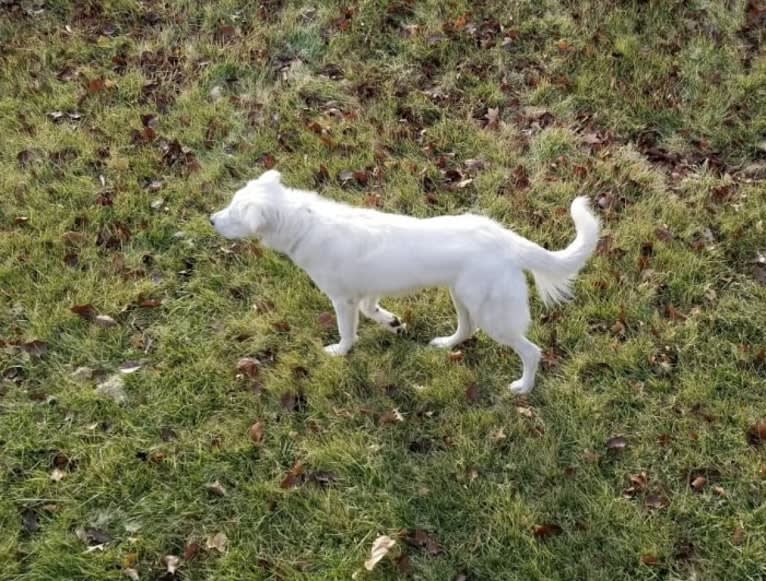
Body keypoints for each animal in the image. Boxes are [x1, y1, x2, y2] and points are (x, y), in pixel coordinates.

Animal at [210, 169, 600, 394]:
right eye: (228, 204)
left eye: (233, 213)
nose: (211, 220)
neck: (305, 223)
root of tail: (506, 239)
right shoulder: (368, 290)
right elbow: (373, 310)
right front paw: (392, 322)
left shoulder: (342, 300)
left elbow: (347, 332)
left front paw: (340, 351)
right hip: (463, 297)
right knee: (466, 329)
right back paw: (445, 344)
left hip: (494, 316)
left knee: (532, 352)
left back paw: (523, 387)